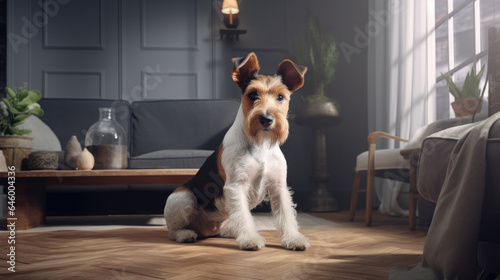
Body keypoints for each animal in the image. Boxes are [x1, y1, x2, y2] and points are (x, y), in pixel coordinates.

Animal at [164, 52, 308, 252]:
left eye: (281, 97)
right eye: (253, 94)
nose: (266, 119)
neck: (261, 144)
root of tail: (206, 231)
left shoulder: (278, 187)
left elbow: (286, 216)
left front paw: (293, 239)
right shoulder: (237, 185)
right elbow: (243, 215)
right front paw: (250, 240)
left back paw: (229, 232)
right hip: (183, 198)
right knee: (173, 230)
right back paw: (186, 234)